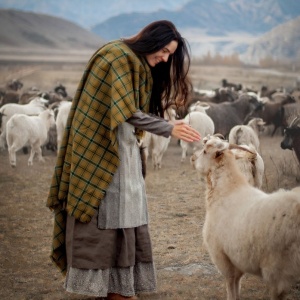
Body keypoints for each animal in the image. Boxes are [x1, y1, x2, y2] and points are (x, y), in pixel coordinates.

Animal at [190, 135, 300, 300]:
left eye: (204, 151)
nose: (192, 158)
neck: (227, 190)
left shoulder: (223, 258)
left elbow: (231, 286)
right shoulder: (237, 260)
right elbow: (237, 284)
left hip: (280, 268)